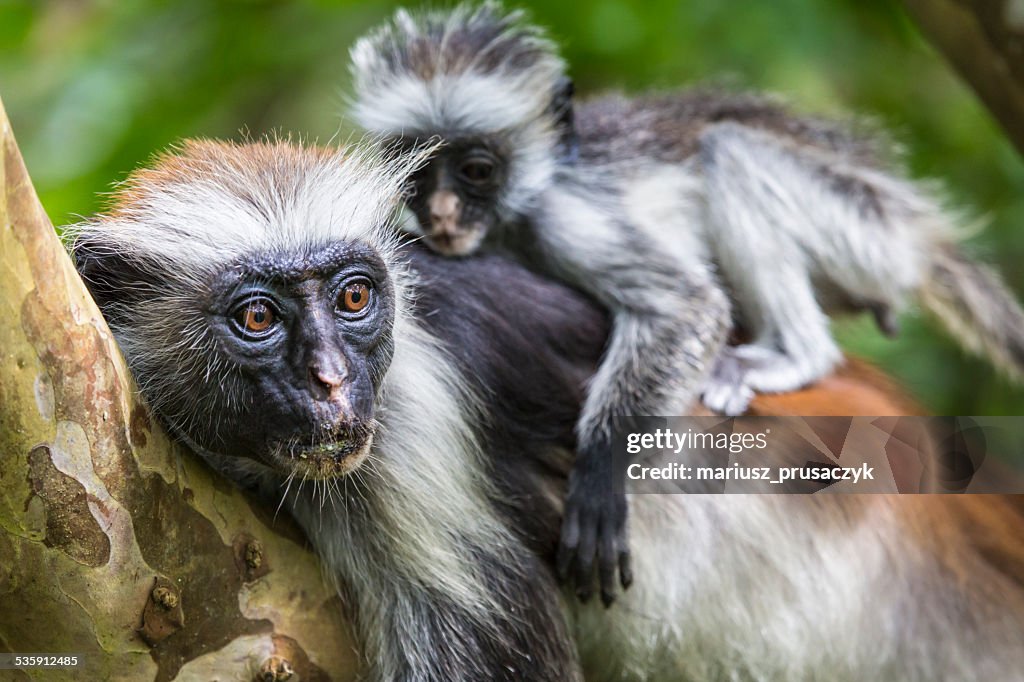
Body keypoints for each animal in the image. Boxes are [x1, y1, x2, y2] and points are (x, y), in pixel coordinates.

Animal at [348, 3, 1024, 602]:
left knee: (730, 151)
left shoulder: (561, 218)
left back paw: (794, 354)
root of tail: (915, 233)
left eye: (477, 171)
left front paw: (602, 470)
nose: (442, 215)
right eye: (418, 174)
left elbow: (687, 306)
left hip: (861, 230)